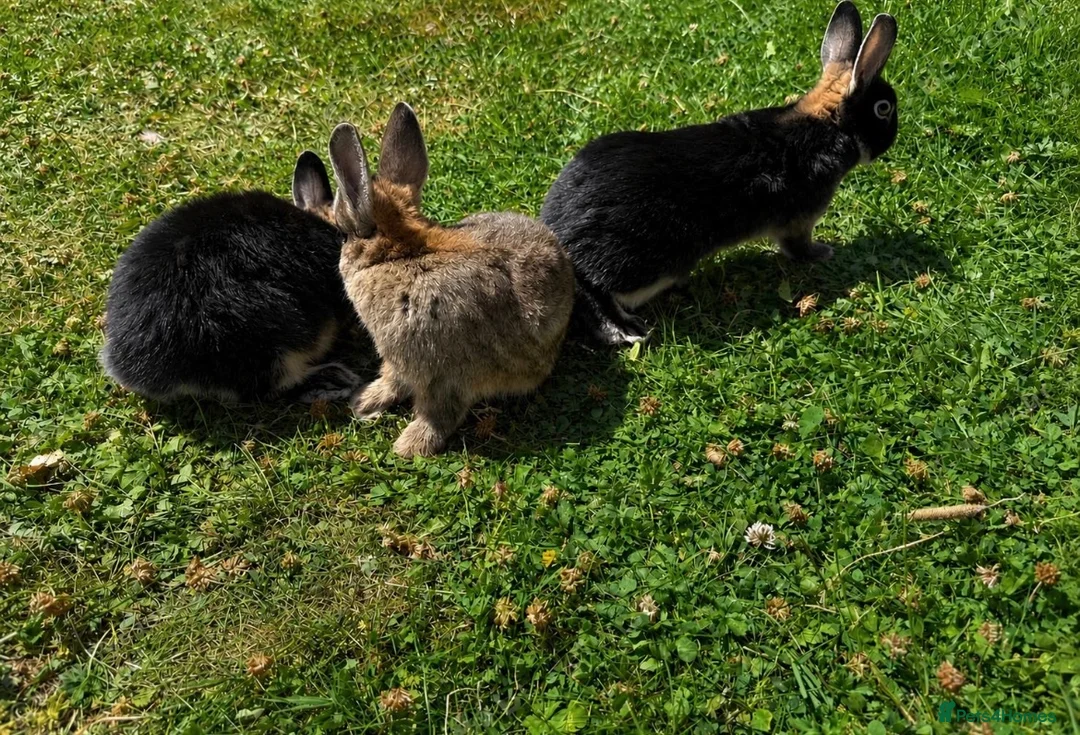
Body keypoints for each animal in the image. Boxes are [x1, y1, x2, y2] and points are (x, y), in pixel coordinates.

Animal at [327, 103, 575, 458]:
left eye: (344, 235)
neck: (401, 253)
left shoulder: (434, 369)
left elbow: (435, 410)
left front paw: (405, 445)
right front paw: (365, 402)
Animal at [541, 1, 898, 346]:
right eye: (883, 109)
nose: (893, 139)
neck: (828, 125)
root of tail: (560, 234)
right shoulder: (799, 220)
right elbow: (796, 246)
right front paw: (822, 253)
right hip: (642, 264)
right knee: (591, 291)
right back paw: (624, 329)